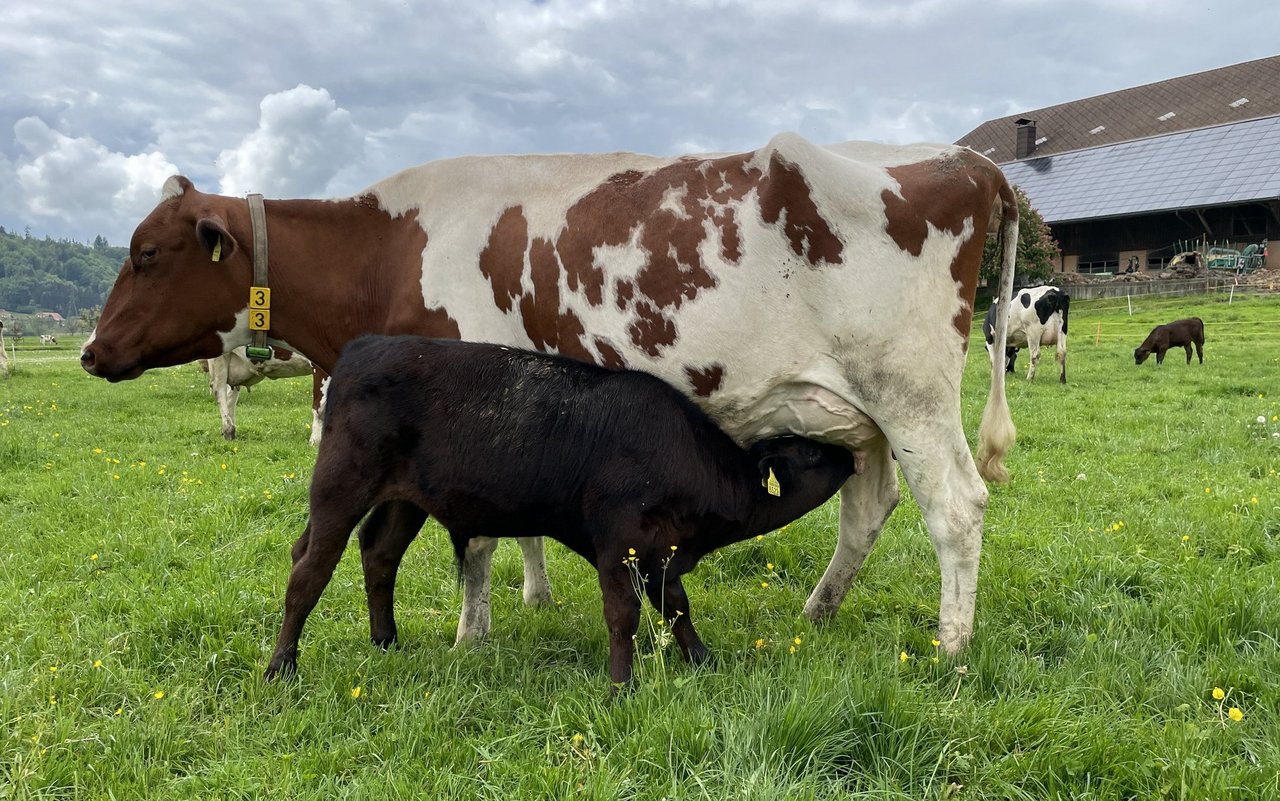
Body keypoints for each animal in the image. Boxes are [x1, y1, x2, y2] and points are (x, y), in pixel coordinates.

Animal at [263, 332, 855, 685]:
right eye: (809, 452)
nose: (850, 455)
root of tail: (368, 344)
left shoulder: (661, 555)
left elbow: (677, 608)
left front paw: (703, 660)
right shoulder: (619, 543)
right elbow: (623, 616)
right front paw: (621, 686)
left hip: (405, 500)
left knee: (379, 554)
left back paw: (386, 642)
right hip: (339, 488)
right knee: (309, 570)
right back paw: (281, 667)